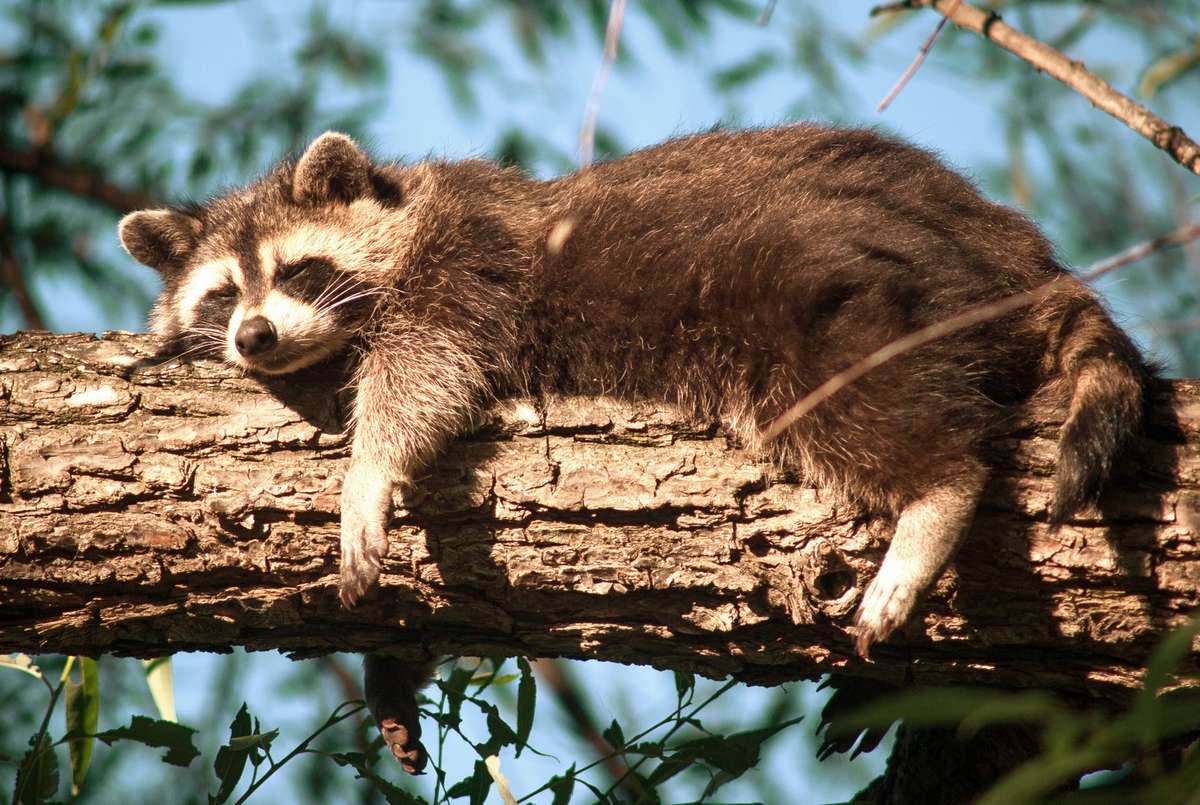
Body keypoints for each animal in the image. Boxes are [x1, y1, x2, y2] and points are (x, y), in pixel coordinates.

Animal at [119, 126, 1147, 772]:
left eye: (297, 272)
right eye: (221, 295)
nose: (253, 336)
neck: (405, 208)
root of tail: (1013, 258)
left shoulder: (469, 257)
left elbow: (428, 370)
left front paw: (369, 473)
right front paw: (394, 674)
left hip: (830, 289)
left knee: (857, 392)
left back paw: (935, 492)